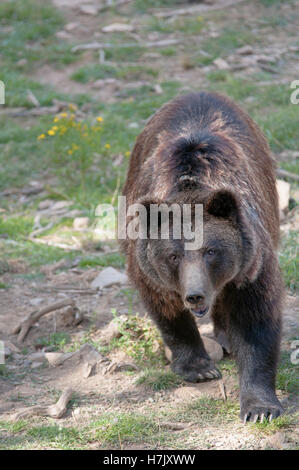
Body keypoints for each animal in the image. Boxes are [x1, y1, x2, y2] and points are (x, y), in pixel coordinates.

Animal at [119, 91, 284, 422]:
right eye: (173, 256)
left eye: (211, 251)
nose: (195, 295)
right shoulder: (148, 267)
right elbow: (167, 310)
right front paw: (199, 368)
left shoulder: (251, 265)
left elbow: (256, 321)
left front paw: (259, 407)